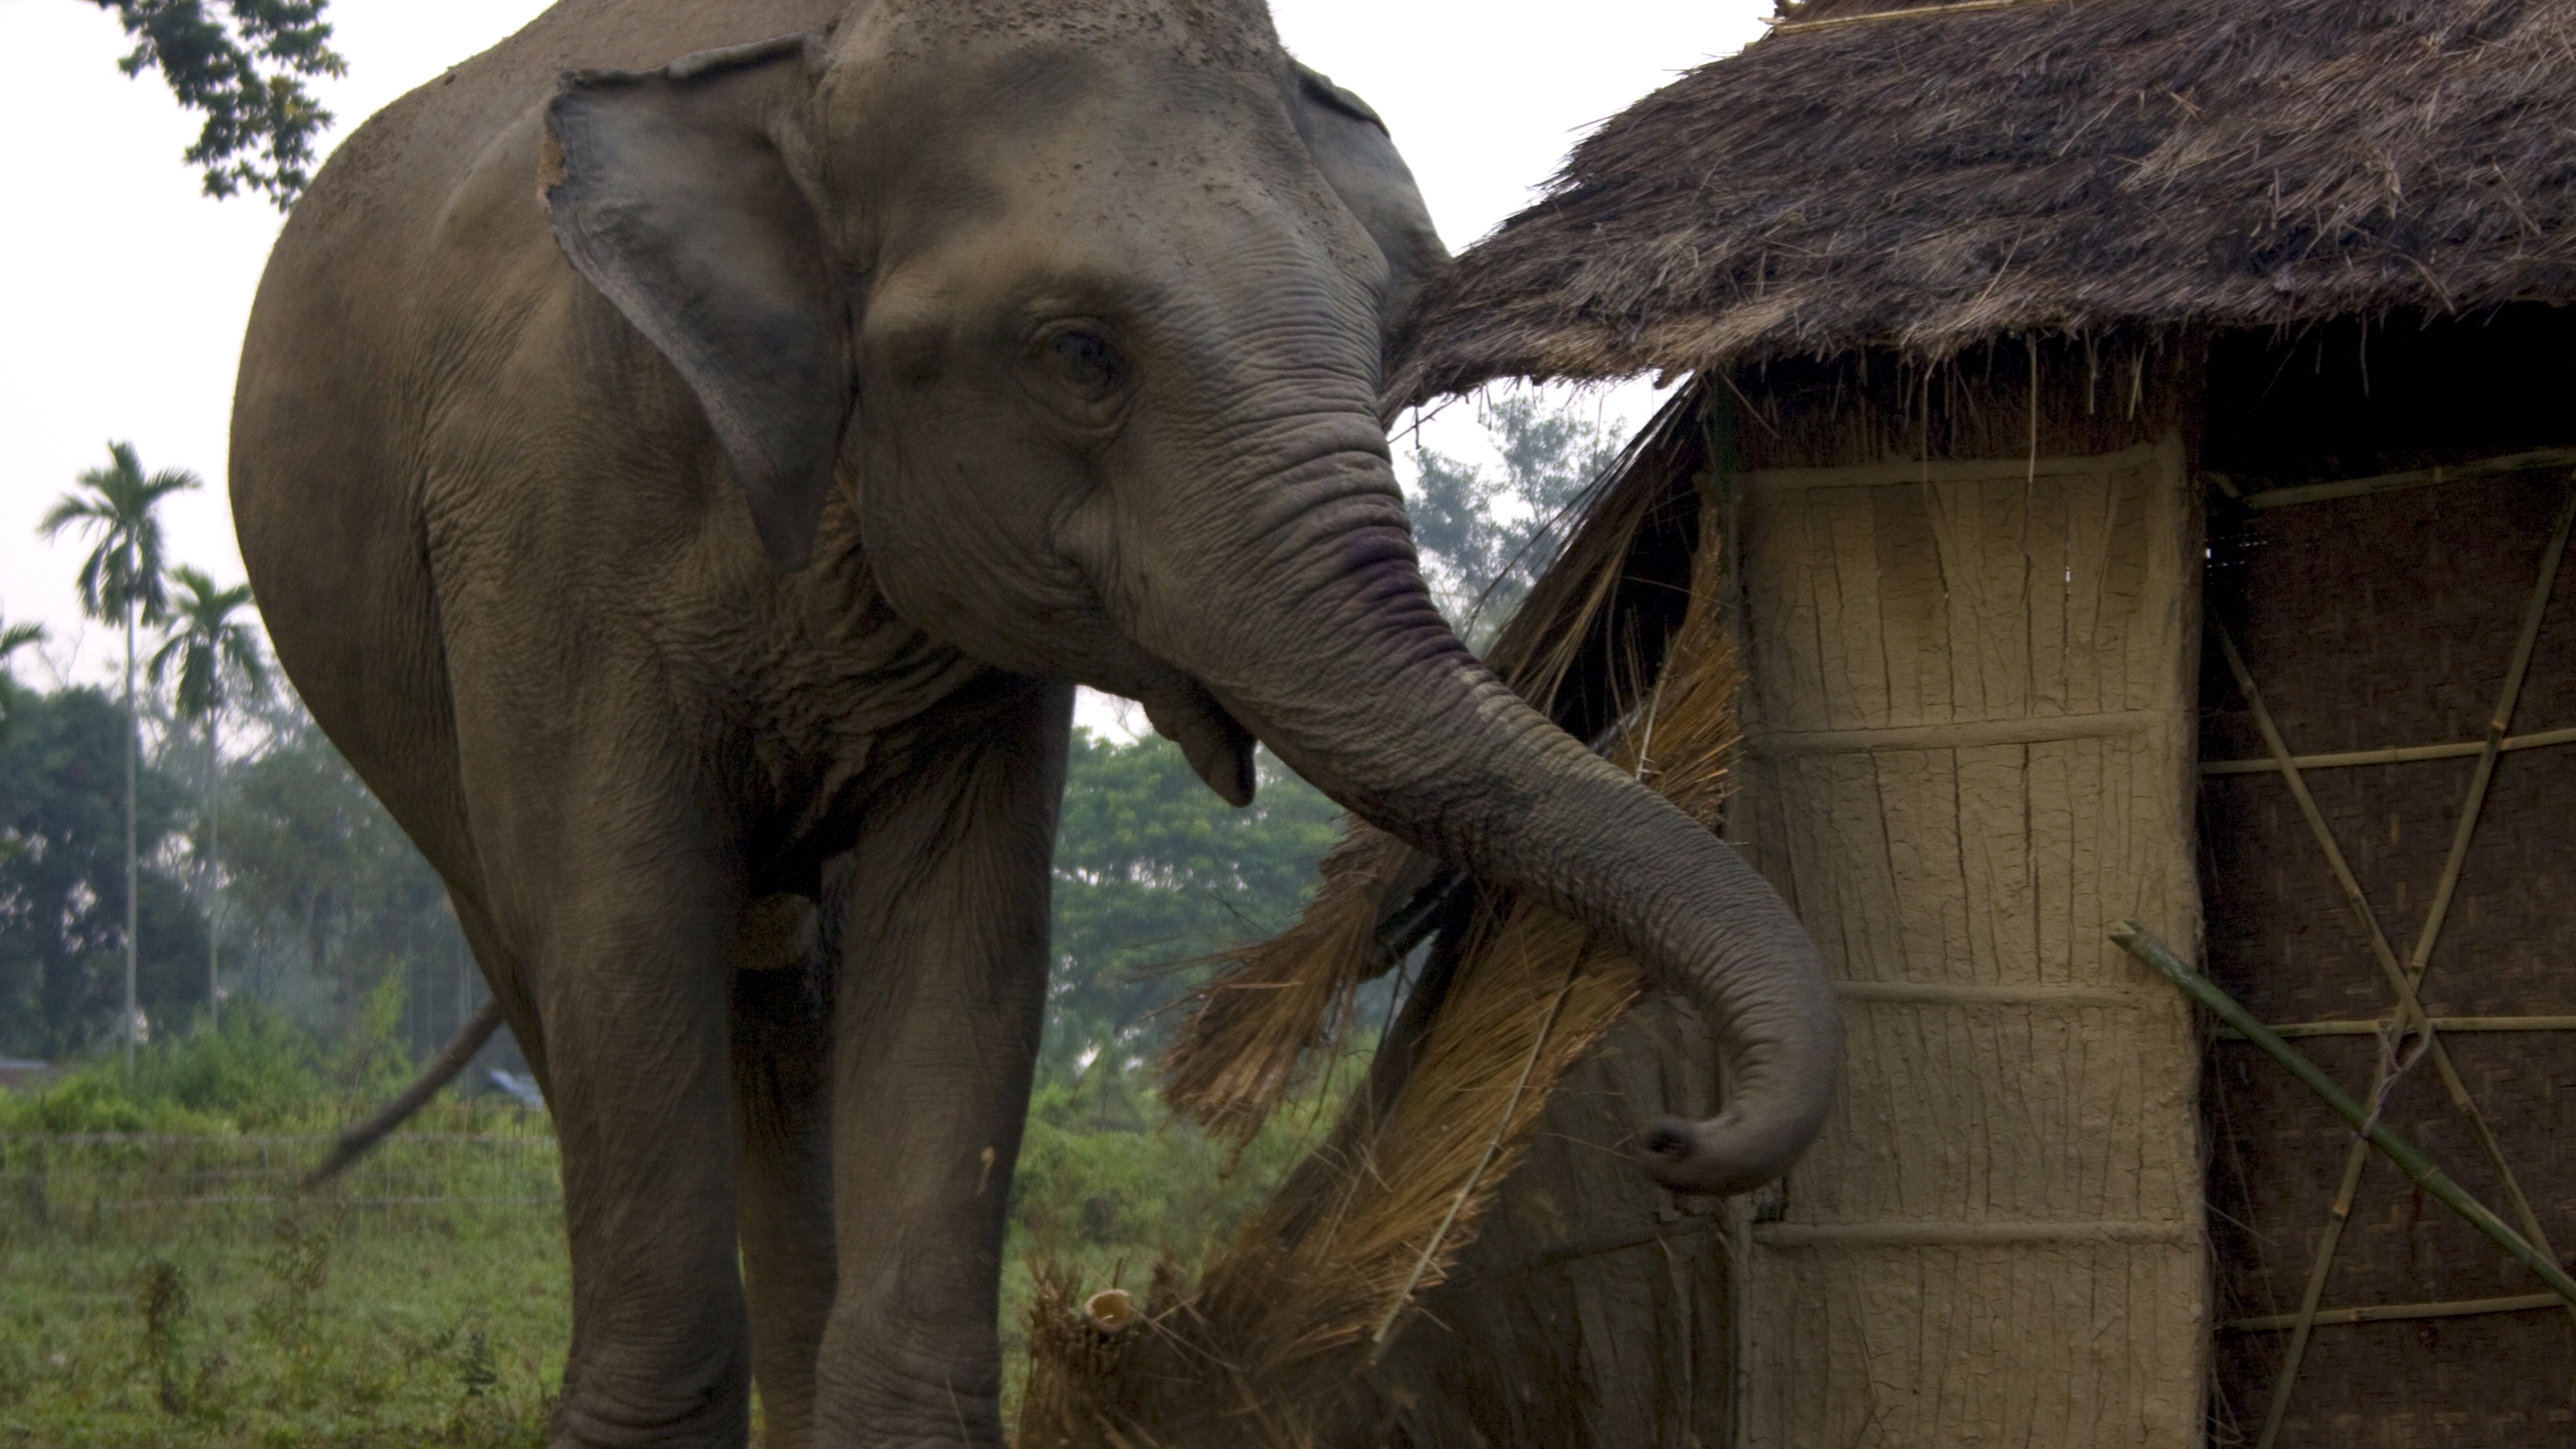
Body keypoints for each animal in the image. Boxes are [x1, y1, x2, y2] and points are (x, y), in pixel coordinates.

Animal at [227, 1, 1843, 1445]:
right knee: (575, 975)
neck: (815, 64)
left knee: (786, 1009)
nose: (1678, 1141)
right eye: (1078, 354)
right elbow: (623, 930)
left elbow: (966, 943)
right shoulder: (544, 523)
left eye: (1385, 330)